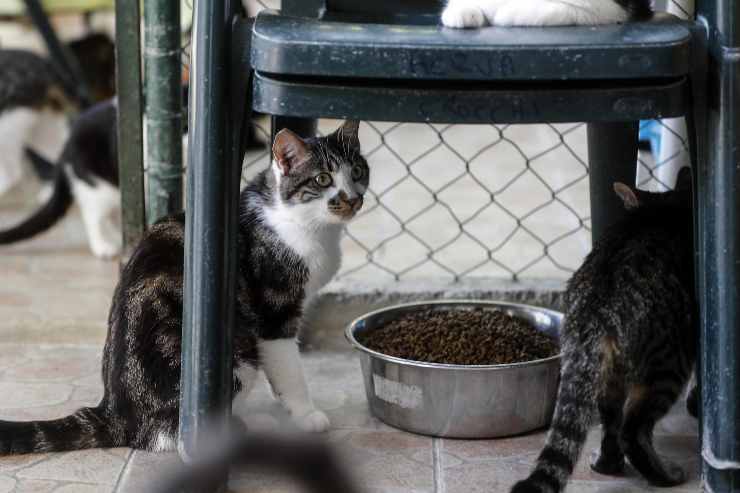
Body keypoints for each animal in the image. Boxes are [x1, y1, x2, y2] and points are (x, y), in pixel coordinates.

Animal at [0, 118, 368, 454]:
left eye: (358, 171)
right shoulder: (274, 313)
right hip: (234, 354)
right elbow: (290, 370)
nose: (352, 199)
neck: (299, 220)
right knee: (168, 435)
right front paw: (306, 415)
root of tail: (115, 412)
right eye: (322, 179)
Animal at [512, 167, 696, 490]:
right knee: (632, 430)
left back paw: (607, 464)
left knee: (611, 421)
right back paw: (663, 476)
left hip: (605, 372)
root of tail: (596, 307)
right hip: (668, 362)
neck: (664, 211)